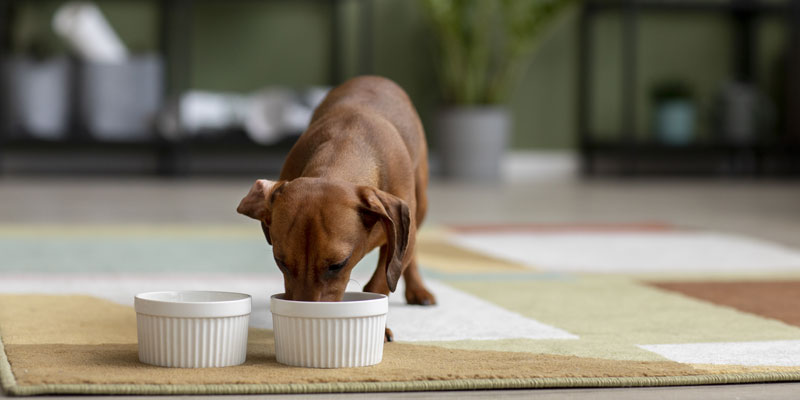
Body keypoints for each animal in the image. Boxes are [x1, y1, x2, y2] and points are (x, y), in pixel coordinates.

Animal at [238, 76, 438, 340]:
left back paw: (417, 289)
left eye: (337, 265)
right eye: (280, 262)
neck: (346, 144)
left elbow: (380, 283)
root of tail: (375, 78)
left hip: (420, 205)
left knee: (408, 253)